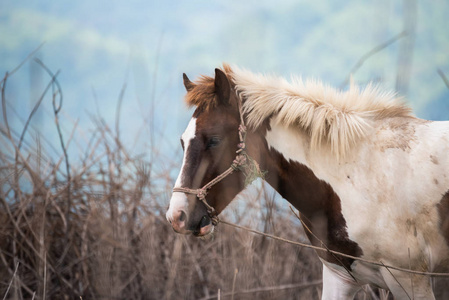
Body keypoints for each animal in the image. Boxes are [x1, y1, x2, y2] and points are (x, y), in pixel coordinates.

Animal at [165, 64, 448, 298]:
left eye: (214, 140)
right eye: (181, 141)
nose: (176, 215)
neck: (357, 175)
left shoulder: (409, 280)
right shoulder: (340, 276)